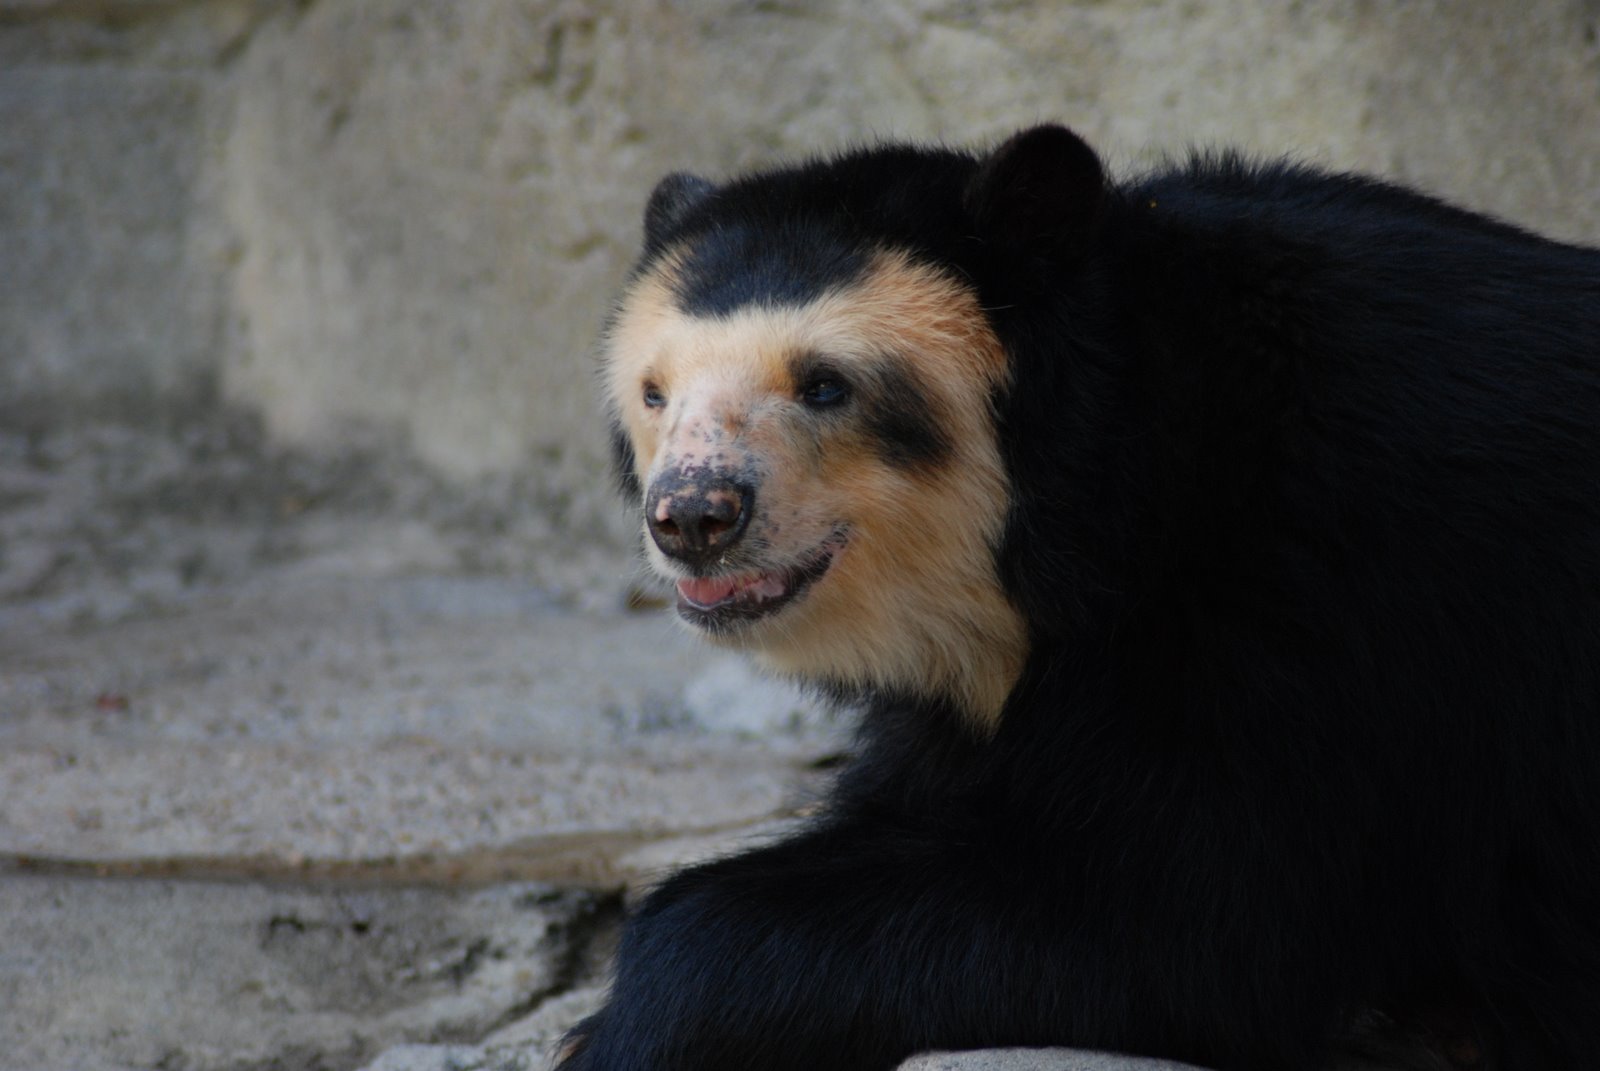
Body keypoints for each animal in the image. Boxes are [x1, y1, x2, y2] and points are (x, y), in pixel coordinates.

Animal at [560, 125, 1600, 1071]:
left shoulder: (1328, 601)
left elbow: (1185, 918)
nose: (694, 515)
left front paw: (619, 1028)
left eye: (824, 386)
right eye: (656, 394)